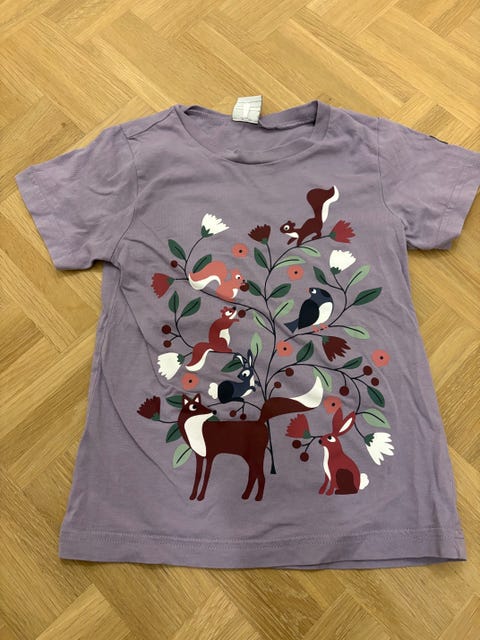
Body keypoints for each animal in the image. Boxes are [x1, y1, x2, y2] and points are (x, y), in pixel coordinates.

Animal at [177, 376, 324, 501]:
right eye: (194, 406)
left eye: (202, 406)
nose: (213, 411)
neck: (197, 430)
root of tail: (259, 421)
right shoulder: (199, 457)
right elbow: (197, 476)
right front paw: (193, 496)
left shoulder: (211, 456)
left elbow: (206, 477)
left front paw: (200, 497)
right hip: (250, 456)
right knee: (254, 474)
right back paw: (246, 496)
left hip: (254, 455)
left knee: (261, 476)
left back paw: (257, 497)